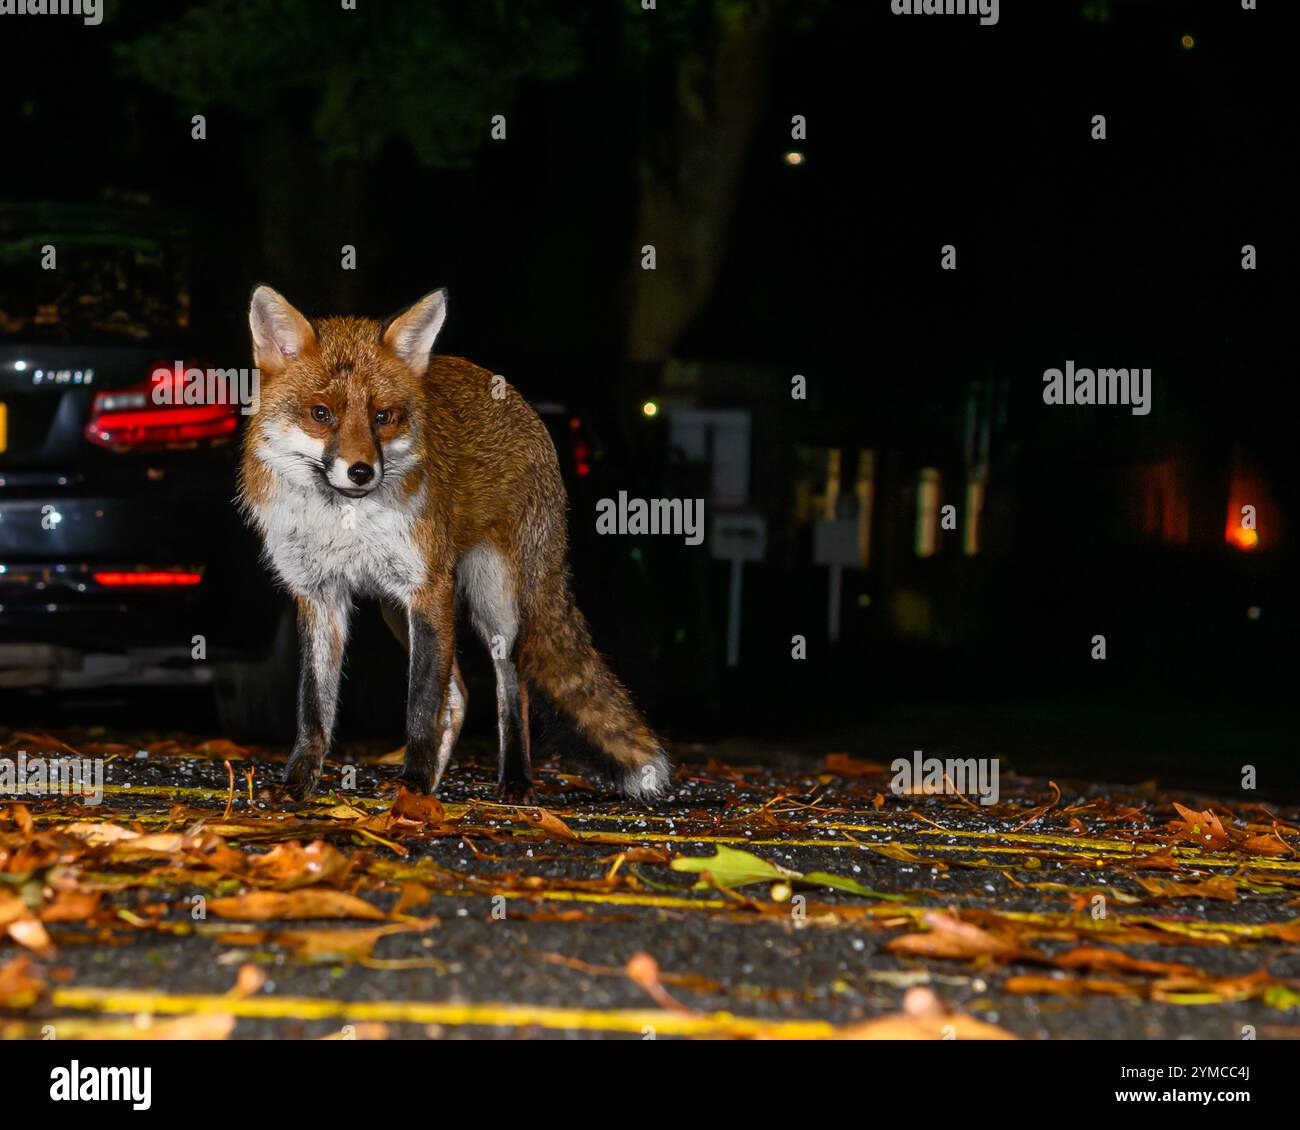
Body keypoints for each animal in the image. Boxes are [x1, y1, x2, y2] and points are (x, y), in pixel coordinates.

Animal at [236, 288, 670, 801]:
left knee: (511, 685)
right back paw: (440, 784)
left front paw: (414, 783)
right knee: (459, 693)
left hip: (494, 599)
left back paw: (514, 778)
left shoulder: (429, 589)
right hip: (398, 610)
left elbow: (422, 704)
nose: (361, 471)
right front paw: (300, 781)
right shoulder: (320, 594)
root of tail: (516, 399)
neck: (343, 521)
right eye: (321, 414)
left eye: (383, 417)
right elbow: (314, 705)